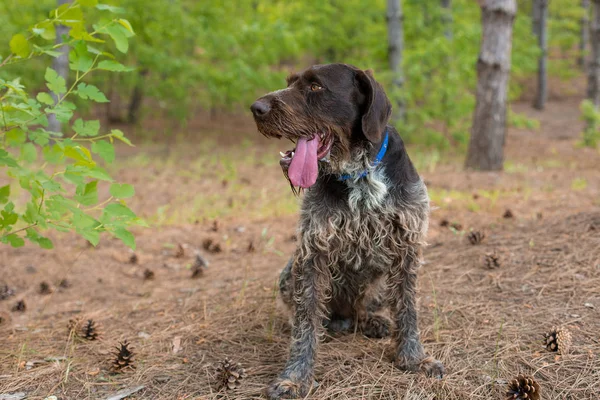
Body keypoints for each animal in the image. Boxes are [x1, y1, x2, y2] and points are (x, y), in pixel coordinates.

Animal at [251, 64, 442, 398]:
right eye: (290, 83)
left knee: (366, 308)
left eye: (315, 87)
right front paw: (295, 377)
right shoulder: (312, 252)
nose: (256, 108)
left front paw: (413, 358)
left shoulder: (407, 247)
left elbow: (408, 308)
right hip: (289, 272)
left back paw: (372, 320)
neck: (359, 173)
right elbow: (305, 321)